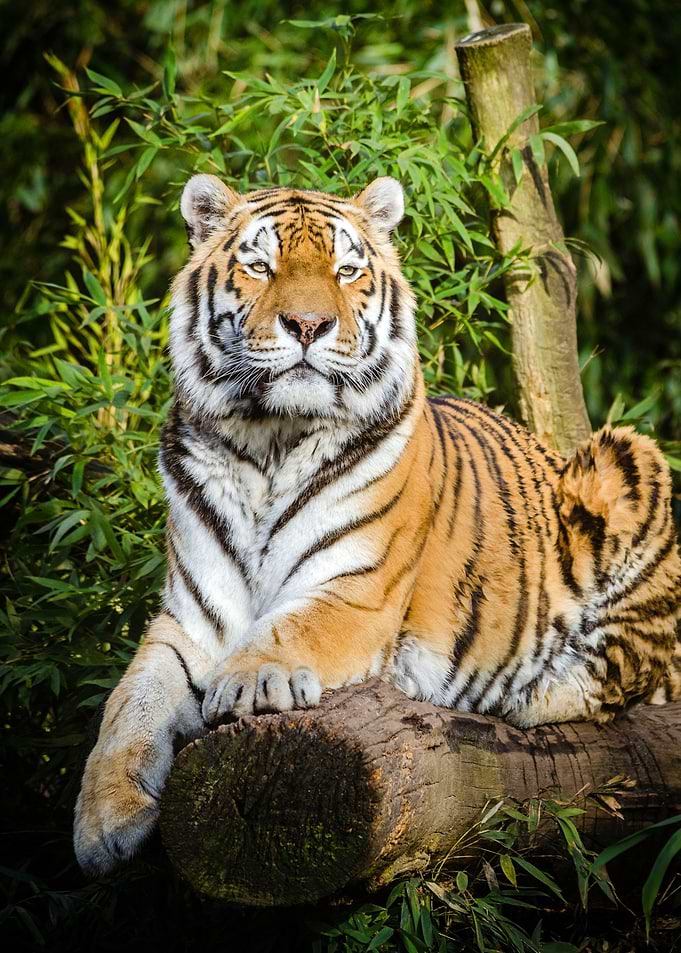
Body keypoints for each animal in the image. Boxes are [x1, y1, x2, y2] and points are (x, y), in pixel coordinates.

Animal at [74, 173, 681, 876]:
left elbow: (290, 628)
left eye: (346, 270)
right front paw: (104, 821)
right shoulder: (191, 620)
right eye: (261, 266)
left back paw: (528, 695)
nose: (308, 324)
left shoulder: (355, 592)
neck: (268, 442)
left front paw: (249, 681)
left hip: (626, 459)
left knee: (623, 676)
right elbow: (127, 707)